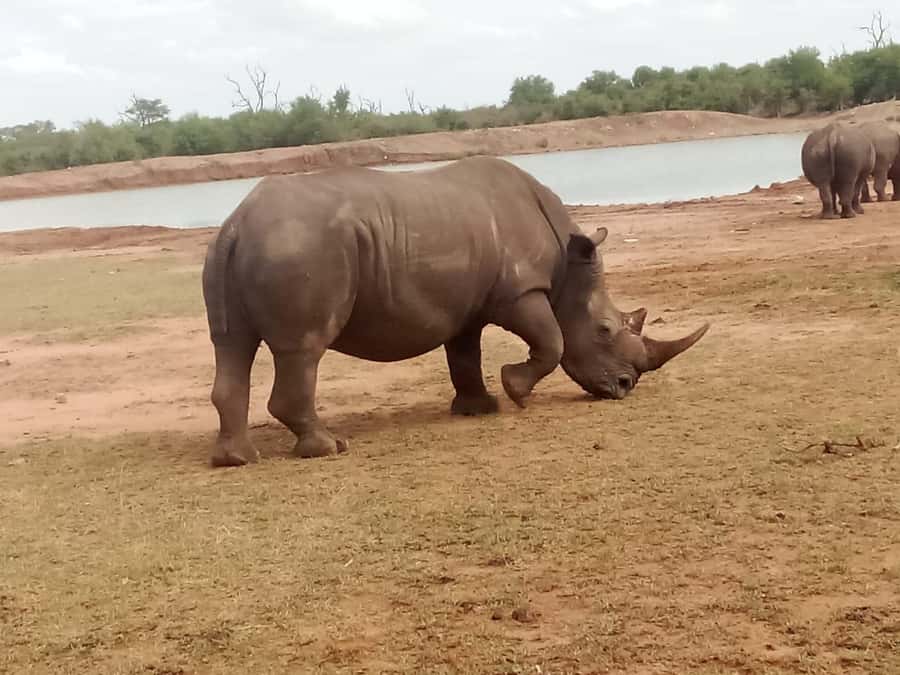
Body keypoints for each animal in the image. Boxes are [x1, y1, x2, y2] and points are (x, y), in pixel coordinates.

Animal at [201, 156, 709, 467]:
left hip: (252, 249)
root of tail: (237, 222)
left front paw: (478, 409)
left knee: (232, 345)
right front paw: (516, 393)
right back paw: (331, 448)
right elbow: (552, 341)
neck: (569, 270)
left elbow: (464, 354)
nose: (624, 387)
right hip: (302, 249)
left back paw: (238, 459)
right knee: (304, 350)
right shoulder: (520, 291)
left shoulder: (468, 307)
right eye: (605, 329)